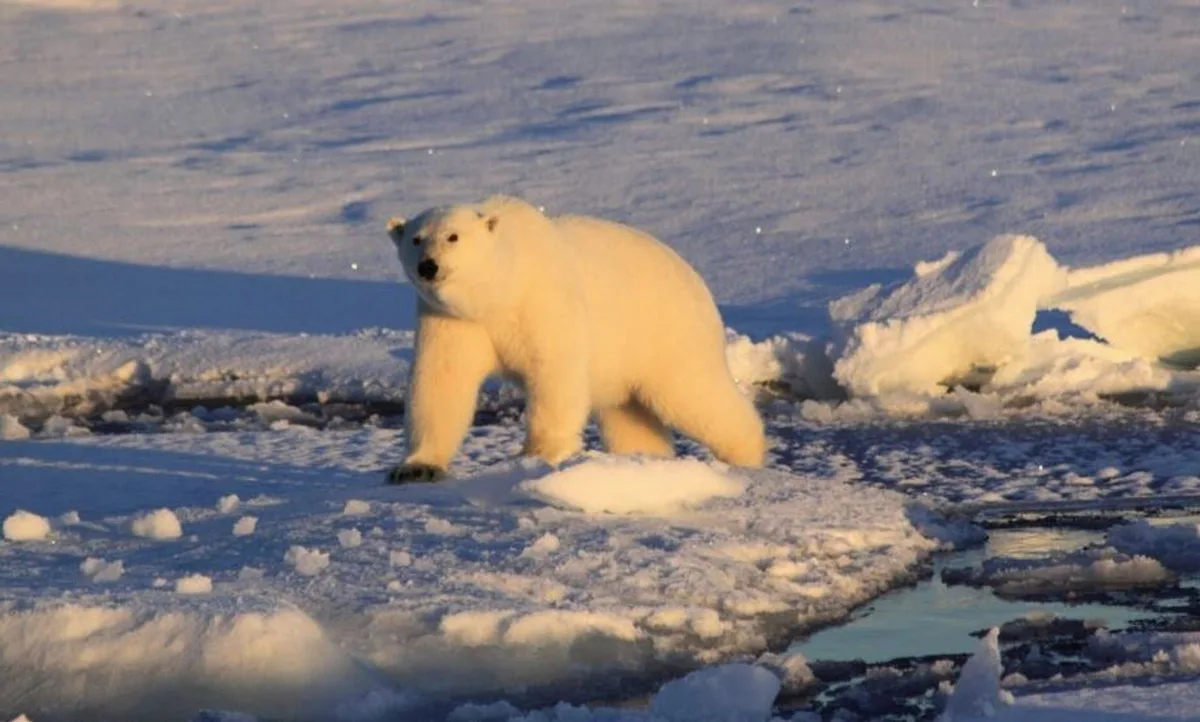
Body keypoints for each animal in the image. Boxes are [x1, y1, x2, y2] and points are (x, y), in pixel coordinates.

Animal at [383, 195, 765, 483]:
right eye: (416, 239)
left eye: (453, 237)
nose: (428, 266)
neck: (499, 291)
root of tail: (696, 279)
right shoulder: (451, 320)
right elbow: (441, 380)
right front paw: (416, 468)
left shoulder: (541, 300)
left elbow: (553, 370)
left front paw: (538, 453)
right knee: (629, 415)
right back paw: (642, 459)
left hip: (665, 330)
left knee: (692, 393)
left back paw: (746, 454)